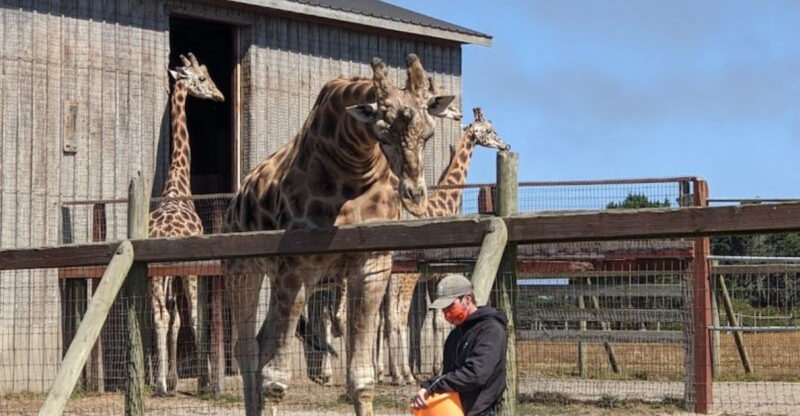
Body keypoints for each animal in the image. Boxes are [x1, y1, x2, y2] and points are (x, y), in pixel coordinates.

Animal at [223, 54, 454, 416]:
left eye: (428, 134)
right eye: (382, 133)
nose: (415, 196)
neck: (352, 167)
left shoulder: (373, 264)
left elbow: (362, 377)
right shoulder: (295, 264)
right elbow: (275, 379)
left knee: (260, 343)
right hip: (242, 270)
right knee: (246, 349)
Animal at [384, 107, 508, 385]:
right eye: (490, 130)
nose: (506, 145)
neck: (445, 202)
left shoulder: (432, 277)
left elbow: (436, 320)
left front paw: (435, 367)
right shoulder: (442, 271)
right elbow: (439, 320)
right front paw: (436, 368)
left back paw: (390, 373)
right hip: (406, 277)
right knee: (397, 318)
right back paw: (404, 375)